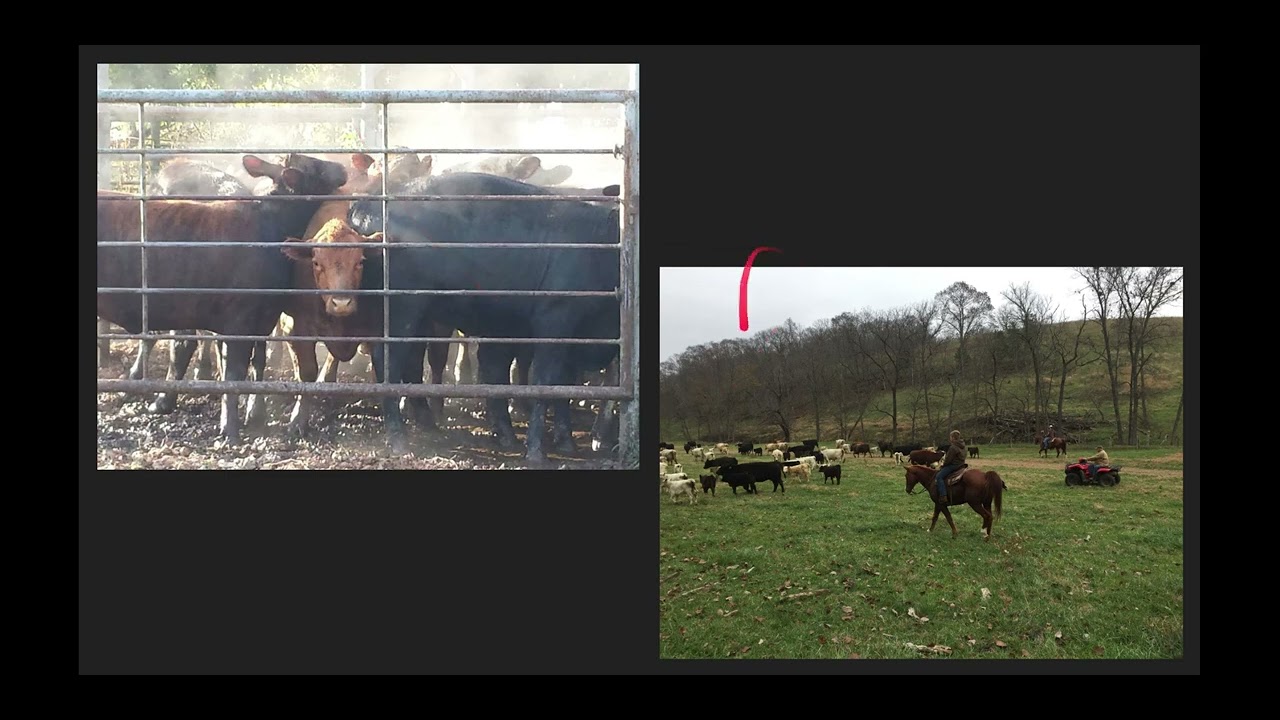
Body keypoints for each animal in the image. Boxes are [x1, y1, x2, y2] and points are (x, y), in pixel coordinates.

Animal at [97, 153, 349, 444]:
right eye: (315, 166)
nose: (341, 168)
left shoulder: (258, 320)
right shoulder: (239, 321)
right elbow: (233, 373)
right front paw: (230, 429)